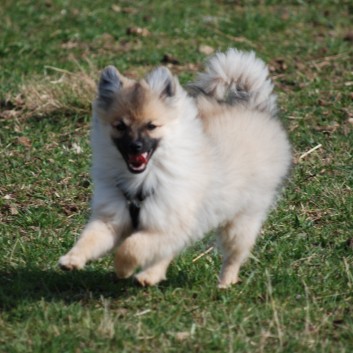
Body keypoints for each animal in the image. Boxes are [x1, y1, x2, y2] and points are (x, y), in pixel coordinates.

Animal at [59, 48, 290, 288]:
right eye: (120, 126)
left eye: (151, 126)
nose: (135, 146)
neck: (144, 179)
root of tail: (255, 108)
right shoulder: (111, 218)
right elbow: (89, 239)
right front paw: (72, 259)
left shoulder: (168, 224)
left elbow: (131, 247)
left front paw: (122, 268)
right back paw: (150, 276)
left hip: (242, 221)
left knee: (233, 257)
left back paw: (224, 284)